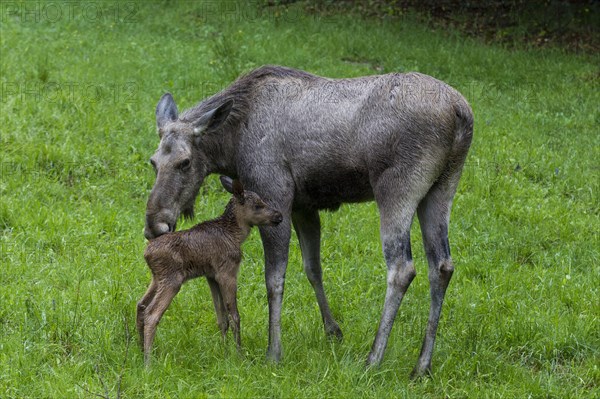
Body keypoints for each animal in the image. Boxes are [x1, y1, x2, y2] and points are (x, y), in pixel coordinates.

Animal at [137, 177, 282, 368]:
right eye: (258, 205)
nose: (279, 216)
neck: (237, 235)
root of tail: (146, 253)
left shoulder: (211, 276)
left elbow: (222, 318)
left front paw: (224, 352)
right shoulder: (227, 272)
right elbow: (234, 315)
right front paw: (239, 355)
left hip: (156, 278)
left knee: (140, 305)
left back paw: (138, 349)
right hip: (172, 280)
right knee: (151, 314)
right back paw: (148, 362)